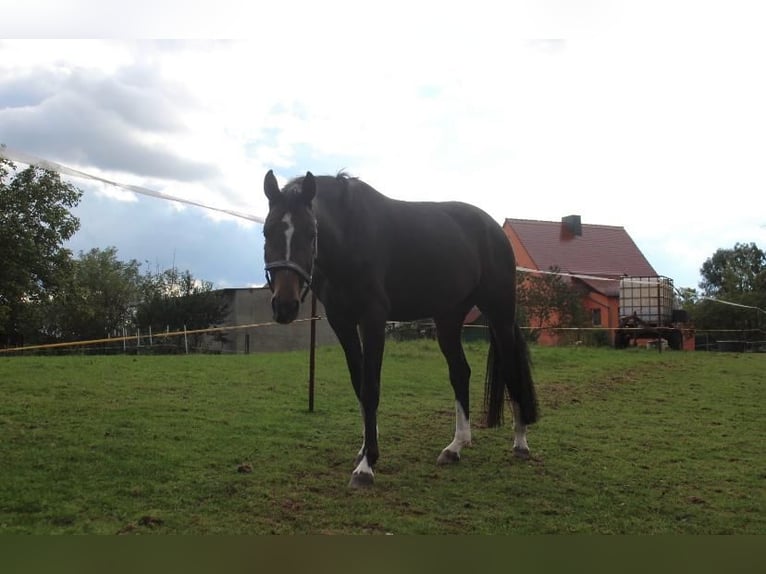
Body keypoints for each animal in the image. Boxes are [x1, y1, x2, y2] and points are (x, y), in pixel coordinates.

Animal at [262, 170, 538, 487]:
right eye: (267, 232)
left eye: (311, 233)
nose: (285, 305)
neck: (349, 234)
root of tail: (495, 230)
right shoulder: (342, 322)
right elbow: (359, 385)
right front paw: (364, 449)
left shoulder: (373, 319)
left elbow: (371, 388)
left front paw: (367, 466)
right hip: (448, 318)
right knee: (460, 373)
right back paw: (456, 446)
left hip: (499, 313)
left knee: (510, 368)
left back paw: (520, 443)